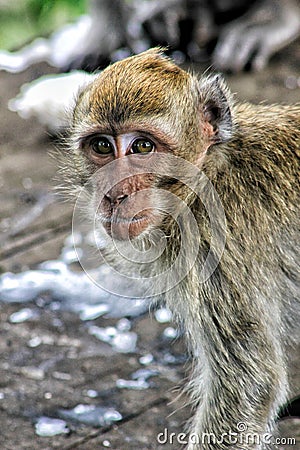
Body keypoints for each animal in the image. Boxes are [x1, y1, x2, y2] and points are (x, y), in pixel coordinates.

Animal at [61, 47, 300, 448]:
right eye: (102, 146)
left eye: (142, 146)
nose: (114, 193)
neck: (208, 171)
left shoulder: (214, 243)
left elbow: (249, 384)